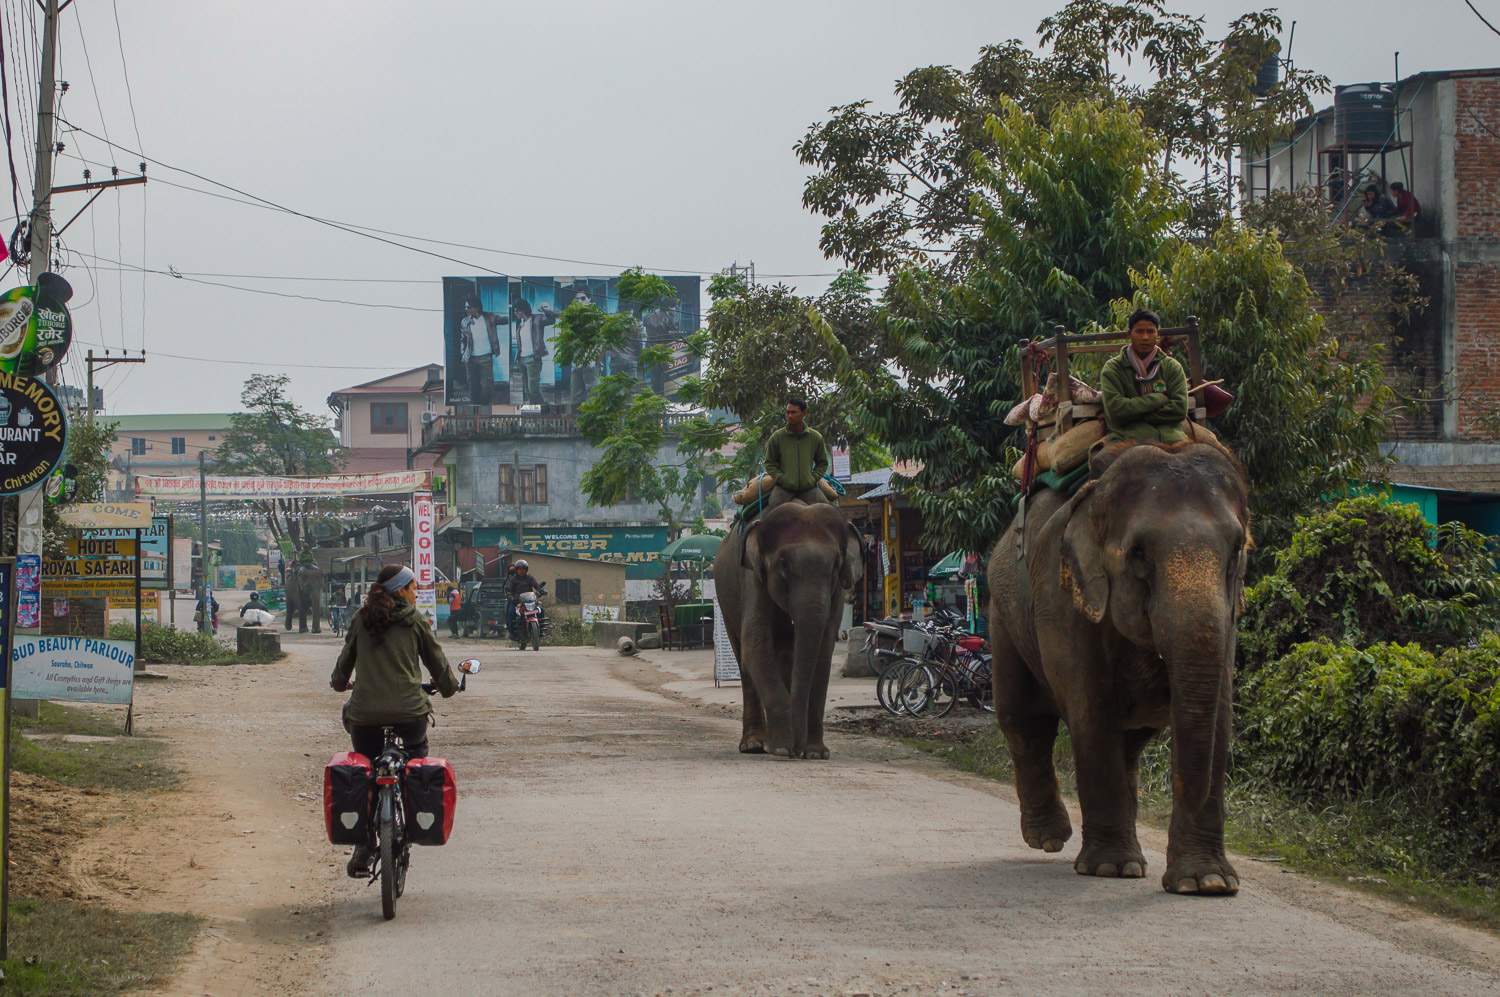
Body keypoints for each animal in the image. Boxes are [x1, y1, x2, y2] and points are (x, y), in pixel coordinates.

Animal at [713, 493, 863, 759]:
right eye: (782, 563)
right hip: (726, 599)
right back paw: (753, 745)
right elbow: (756, 645)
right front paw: (781, 748)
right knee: (744, 660)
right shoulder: (752, 578)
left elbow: (824, 648)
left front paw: (815, 754)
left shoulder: (836, 590)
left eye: (836, 564)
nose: (798, 748)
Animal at [986, 440, 1250, 895]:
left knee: (1128, 745)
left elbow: (1219, 714)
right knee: (1024, 721)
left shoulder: (1229, 612)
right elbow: (1091, 709)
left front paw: (1207, 883)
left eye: (1236, 551)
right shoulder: (1061, 594)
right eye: (1138, 554)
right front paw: (1110, 868)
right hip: (1004, 618)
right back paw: (1050, 838)